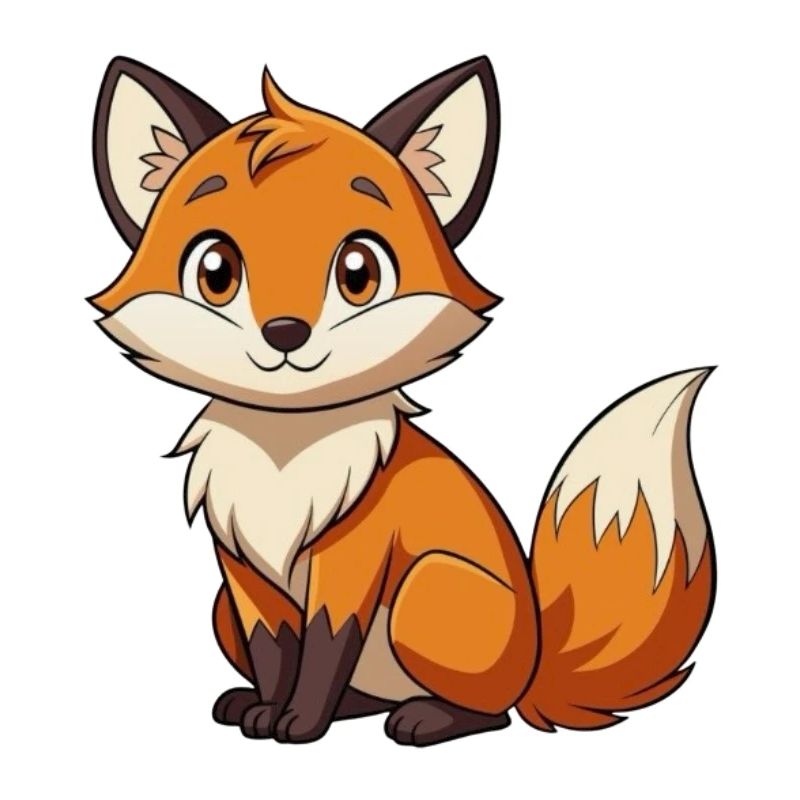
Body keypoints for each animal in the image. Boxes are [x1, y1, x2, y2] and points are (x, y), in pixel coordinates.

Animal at [89, 55, 716, 746]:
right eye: (216, 271)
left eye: (358, 272)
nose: (285, 332)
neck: (284, 453)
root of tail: (536, 665)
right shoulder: (242, 573)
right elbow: (276, 651)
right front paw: (268, 711)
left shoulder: (351, 562)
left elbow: (325, 646)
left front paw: (300, 723)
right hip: (223, 610)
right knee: (368, 695)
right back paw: (334, 706)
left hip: (428, 587)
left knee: (492, 712)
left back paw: (427, 717)